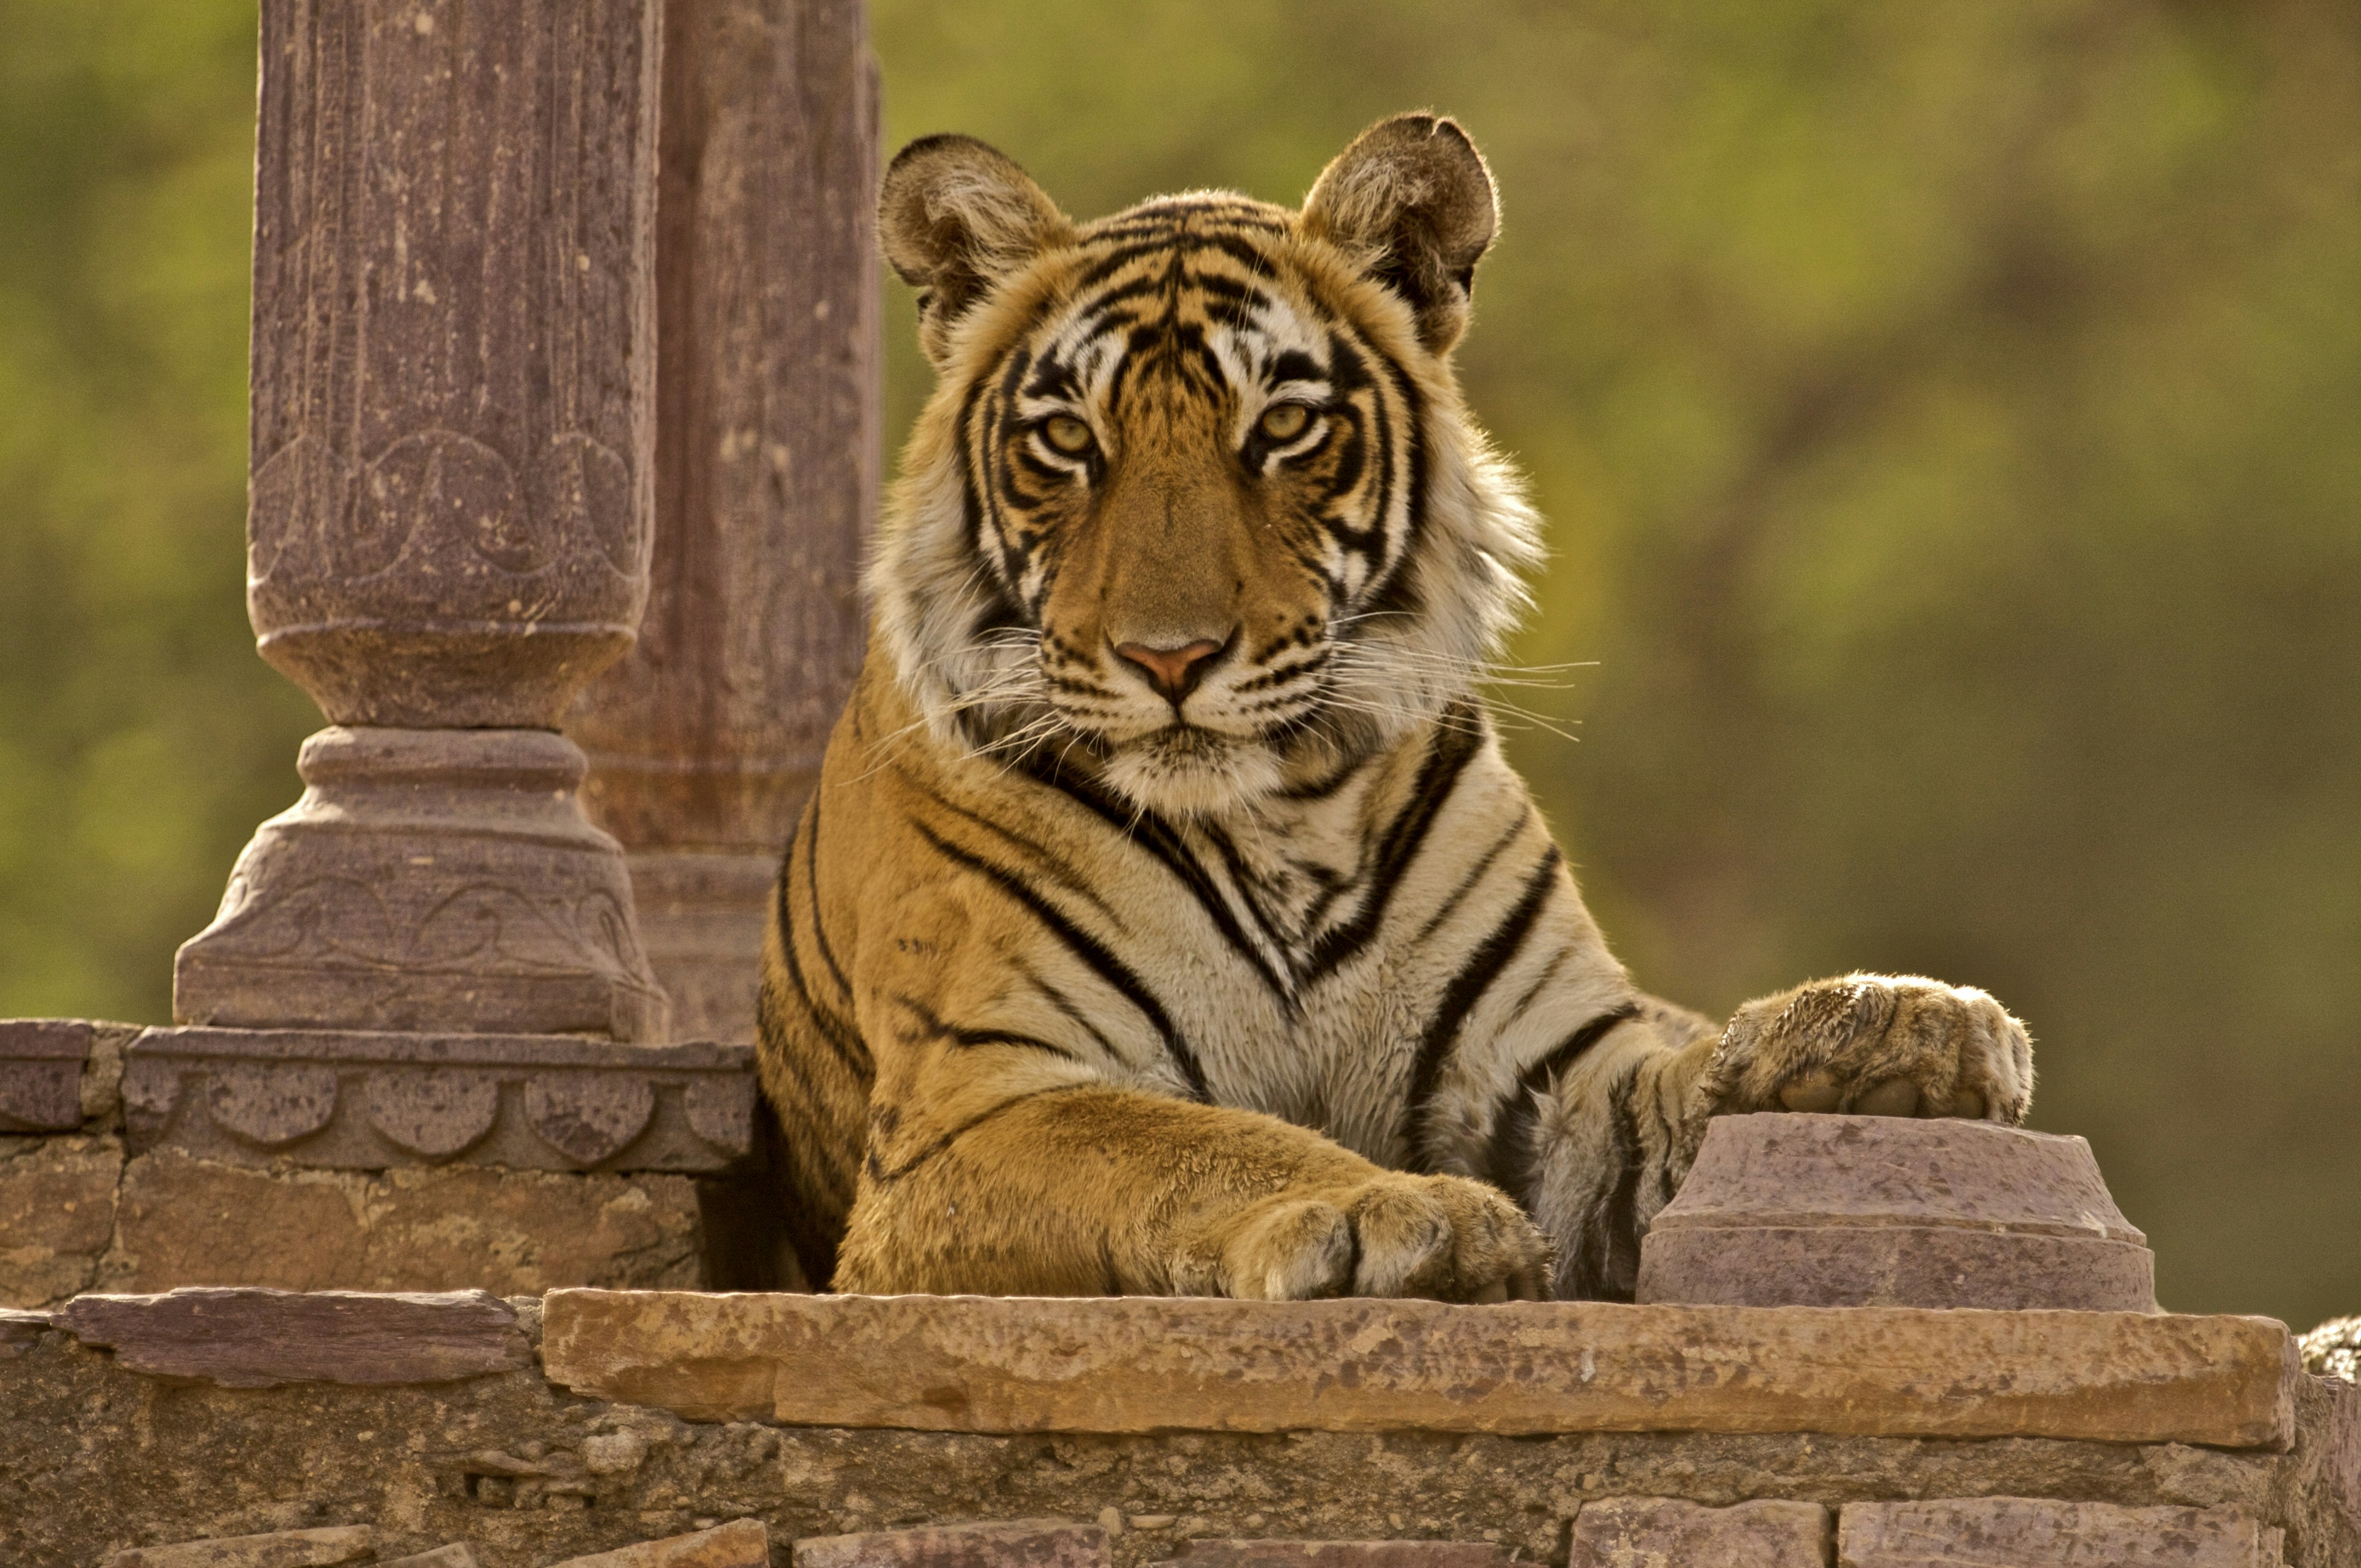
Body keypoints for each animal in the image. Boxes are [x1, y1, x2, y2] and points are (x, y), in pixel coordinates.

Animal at [755, 113, 2030, 1294]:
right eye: (1068, 440)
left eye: (1282, 427)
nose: (1170, 659)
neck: (1283, 821)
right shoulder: (982, 1104)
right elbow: (1195, 1145)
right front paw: (1398, 1213)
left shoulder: (1549, 1074)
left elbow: (1671, 1092)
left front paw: (1904, 1023)